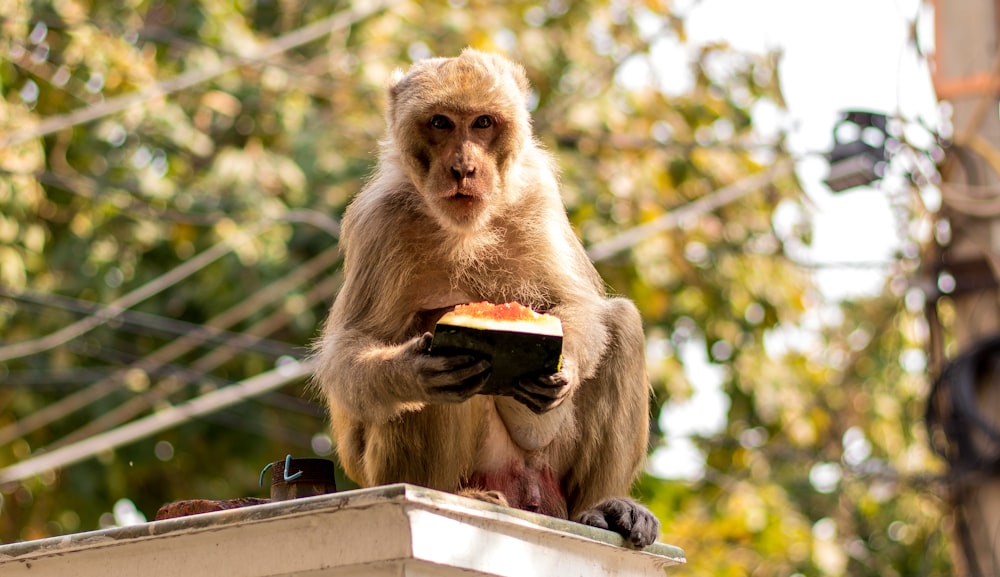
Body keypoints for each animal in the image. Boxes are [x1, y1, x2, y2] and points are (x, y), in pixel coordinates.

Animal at [310, 48, 656, 544]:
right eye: (440, 123)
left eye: (483, 123)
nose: (463, 168)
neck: (464, 228)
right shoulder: (378, 221)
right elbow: (347, 351)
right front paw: (411, 371)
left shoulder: (537, 194)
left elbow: (577, 305)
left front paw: (565, 365)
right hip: (396, 471)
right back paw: (457, 493)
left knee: (621, 323)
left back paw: (601, 507)